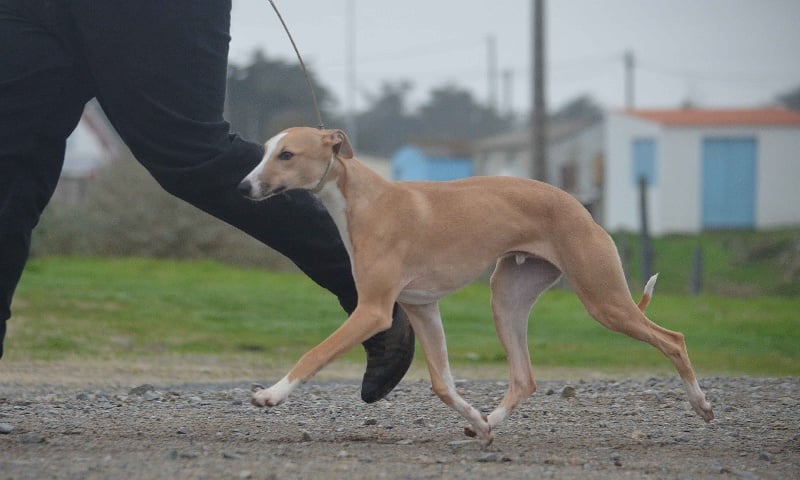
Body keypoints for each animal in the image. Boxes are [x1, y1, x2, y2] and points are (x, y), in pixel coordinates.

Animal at [236, 126, 712, 446]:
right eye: (266, 152)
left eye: (287, 154)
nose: (243, 186)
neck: (366, 200)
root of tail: (581, 206)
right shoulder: (422, 308)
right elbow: (442, 384)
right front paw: (479, 421)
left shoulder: (373, 309)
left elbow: (314, 354)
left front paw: (271, 395)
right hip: (508, 296)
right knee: (524, 378)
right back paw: (489, 423)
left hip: (603, 299)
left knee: (673, 338)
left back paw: (702, 405)